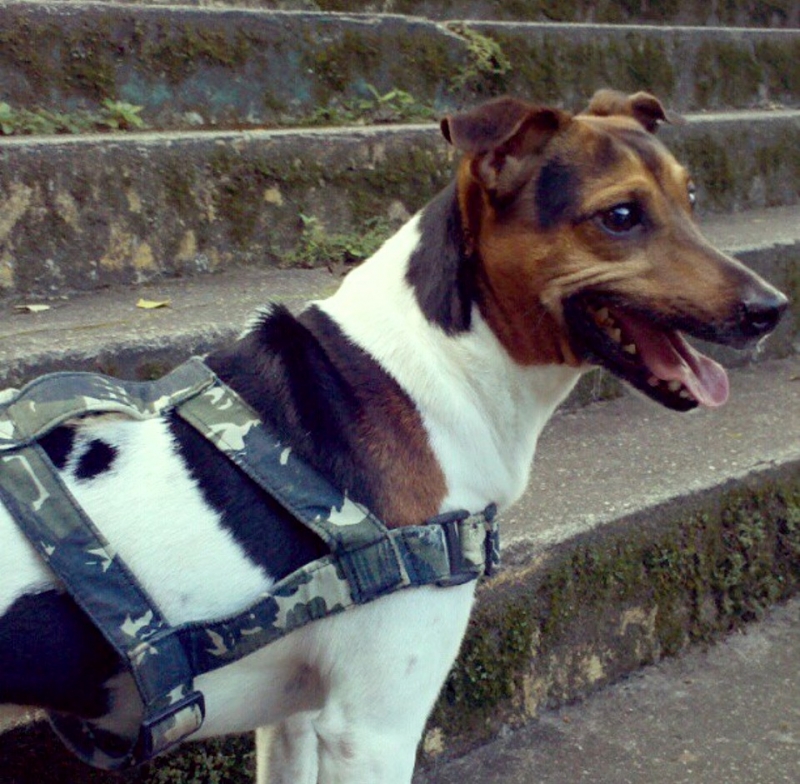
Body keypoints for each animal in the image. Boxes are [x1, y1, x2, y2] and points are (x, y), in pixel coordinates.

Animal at [0, 89, 788, 780]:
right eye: (621, 216)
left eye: (691, 201)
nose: (771, 309)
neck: (435, 365)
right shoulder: (373, 730)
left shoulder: (295, 720)